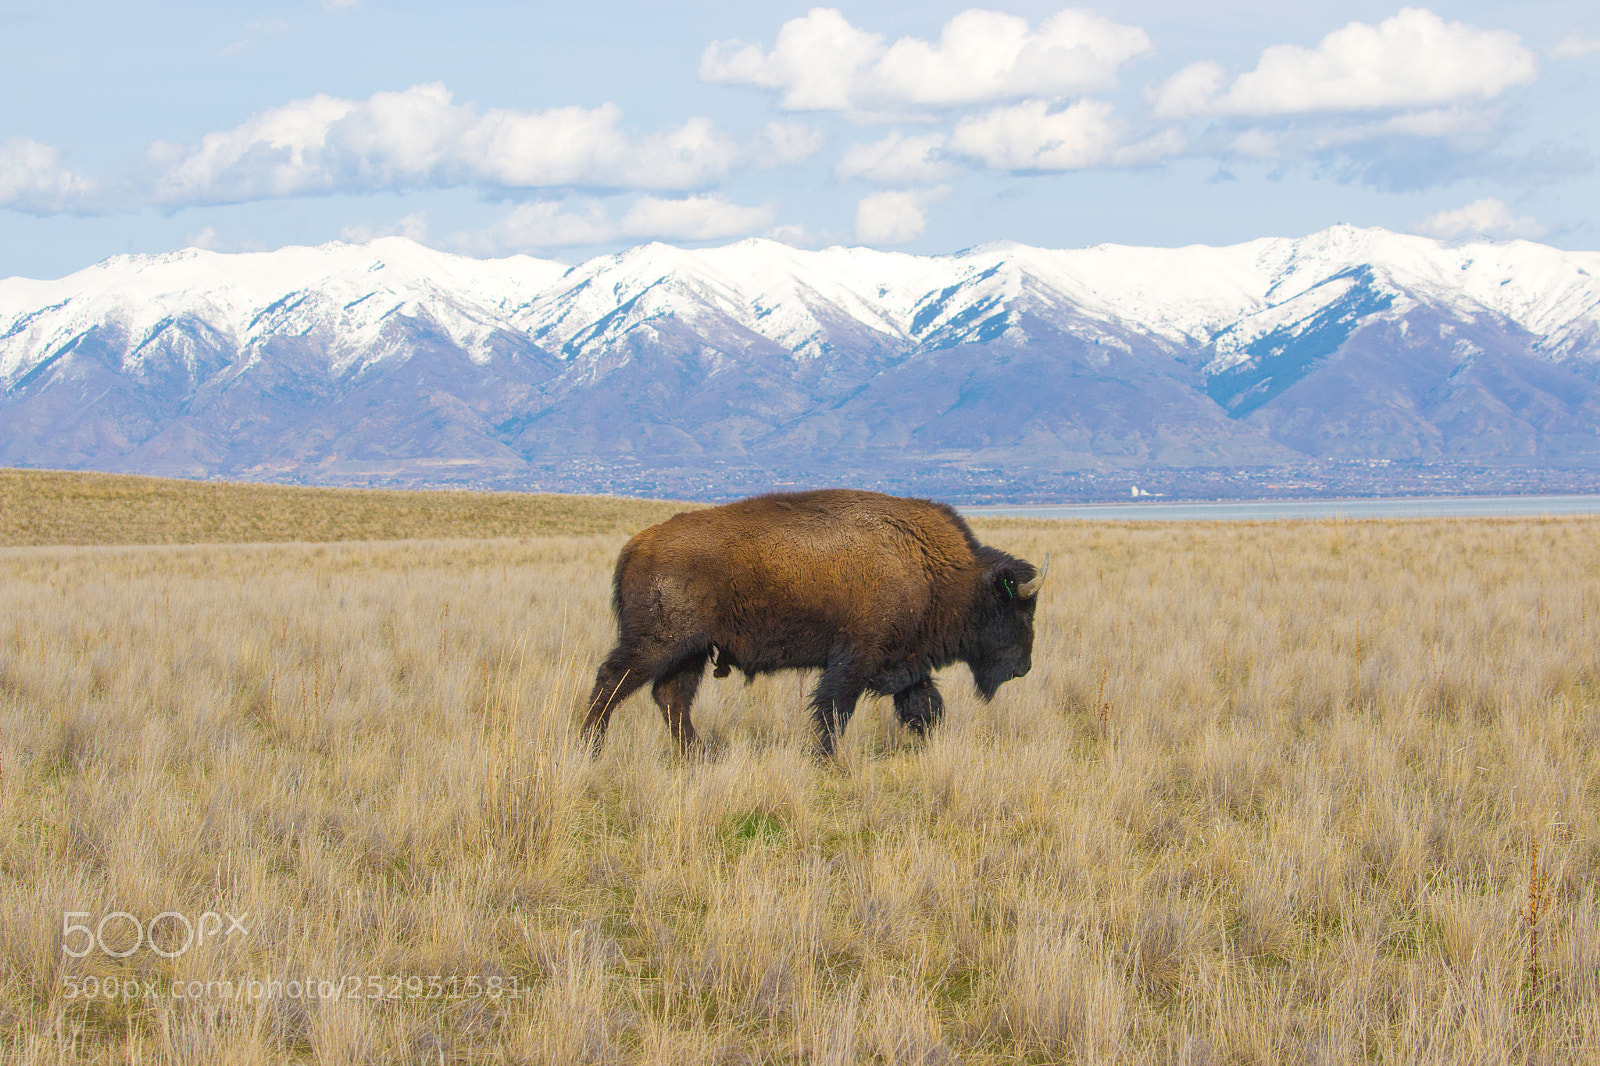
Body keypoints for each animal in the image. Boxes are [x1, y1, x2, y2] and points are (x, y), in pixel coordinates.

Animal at [582, 489, 1044, 755]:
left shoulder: (906, 662)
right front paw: (825, 757)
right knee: (613, 681)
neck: (937, 570)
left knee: (670, 697)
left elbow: (926, 706)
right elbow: (835, 709)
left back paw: (697, 754)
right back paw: (591, 746)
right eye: (1016, 609)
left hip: (691, 650)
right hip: (661, 642)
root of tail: (636, 546)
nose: (1023, 668)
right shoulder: (856, 658)